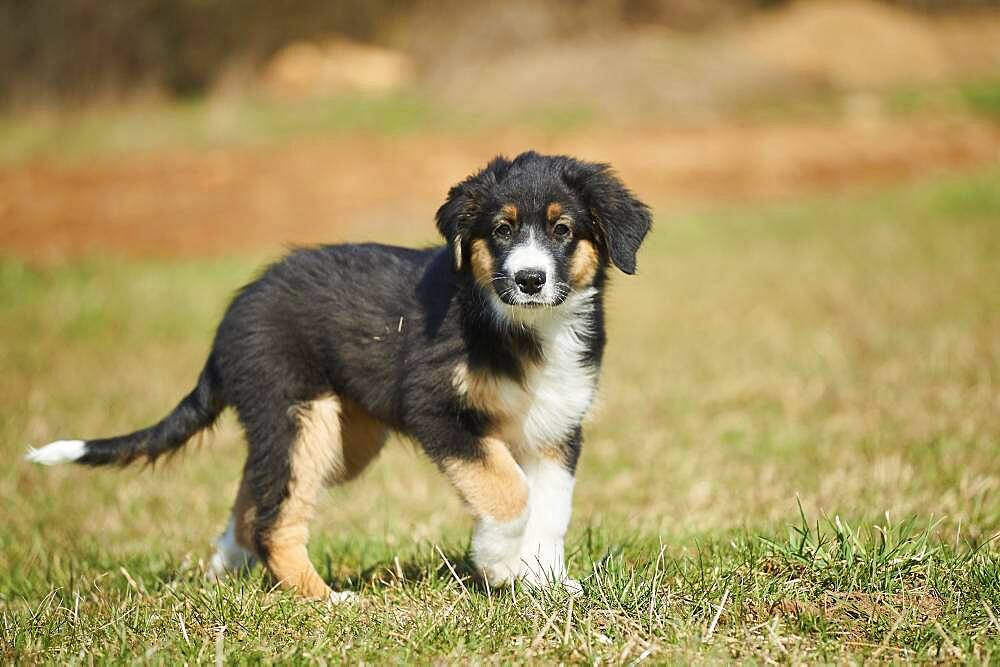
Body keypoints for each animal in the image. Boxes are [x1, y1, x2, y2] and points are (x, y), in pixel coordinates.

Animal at [27, 154, 652, 604]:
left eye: (563, 229)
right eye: (500, 229)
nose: (528, 279)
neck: (524, 328)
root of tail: (233, 314)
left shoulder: (556, 426)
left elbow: (551, 508)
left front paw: (545, 582)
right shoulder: (437, 410)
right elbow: (508, 490)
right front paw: (498, 565)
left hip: (338, 438)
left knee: (257, 496)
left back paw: (223, 569)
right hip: (301, 413)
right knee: (275, 519)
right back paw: (323, 599)